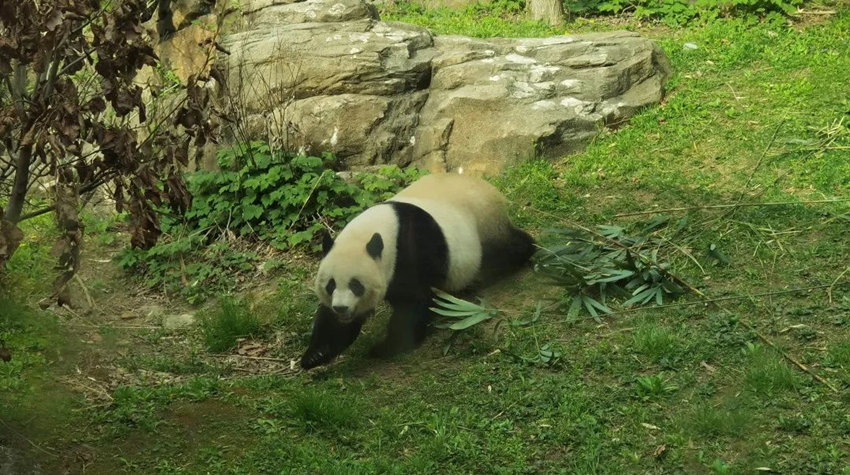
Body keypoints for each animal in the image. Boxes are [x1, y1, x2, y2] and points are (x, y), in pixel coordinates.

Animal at [302, 173, 532, 370]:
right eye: (330, 285)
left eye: (356, 285)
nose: (341, 308)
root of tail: (493, 191)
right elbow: (333, 324)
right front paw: (314, 355)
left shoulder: (410, 250)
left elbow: (412, 303)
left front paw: (386, 347)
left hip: (484, 227)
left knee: (504, 250)